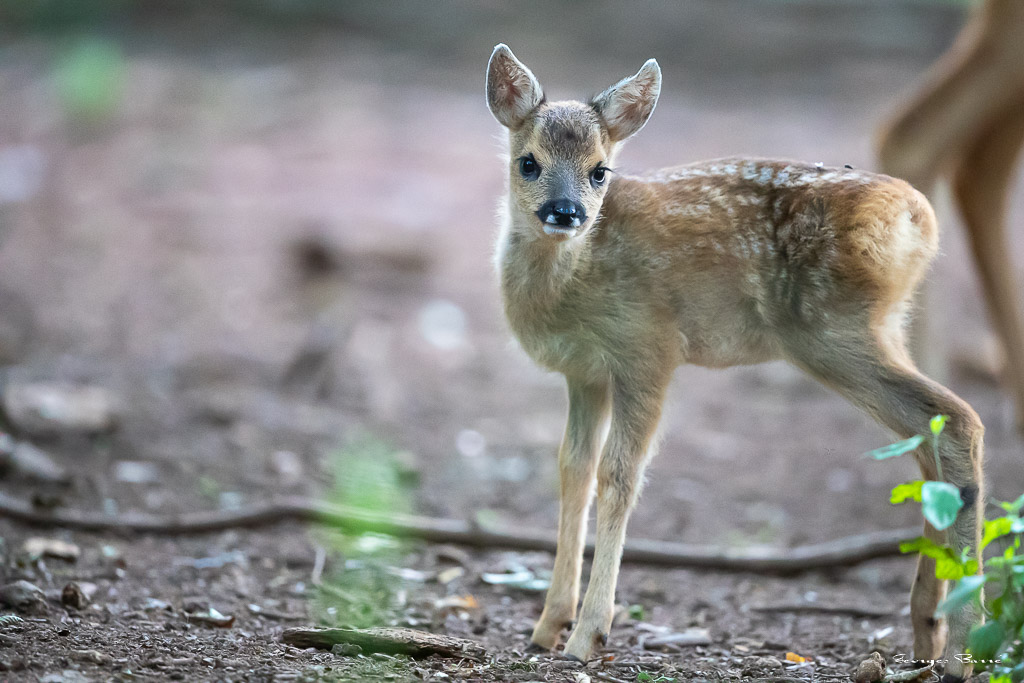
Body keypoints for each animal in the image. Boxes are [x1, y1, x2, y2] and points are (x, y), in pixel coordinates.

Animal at [486, 44, 984, 682]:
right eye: (528, 163)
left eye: (600, 170)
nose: (566, 211)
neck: (575, 278)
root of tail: (919, 219)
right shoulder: (585, 372)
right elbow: (574, 471)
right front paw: (547, 626)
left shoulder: (648, 350)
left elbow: (619, 477)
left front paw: (587, 635)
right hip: (878, 328)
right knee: (928, 439)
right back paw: (928, 633)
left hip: (832, 330)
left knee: (956, 420)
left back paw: (963, 648)